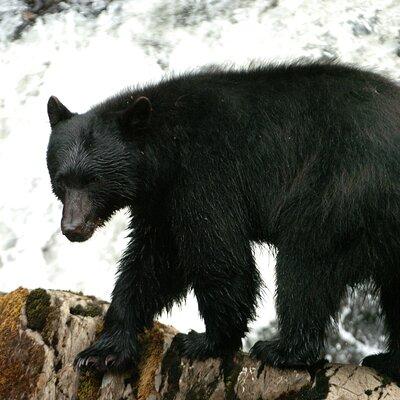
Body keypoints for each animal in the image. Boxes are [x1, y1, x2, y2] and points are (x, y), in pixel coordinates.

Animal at [47, 61, 400, 380]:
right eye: (62, 180)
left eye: (94, 181)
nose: (72, 228)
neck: (166, 148)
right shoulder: (160, 200)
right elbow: (153, 262)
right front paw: (102, 352)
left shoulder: (206, 173)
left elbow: (217, 253)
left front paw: (207, 340)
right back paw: (387, 360)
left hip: (343, 187)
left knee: (305, 263)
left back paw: (283, 350)